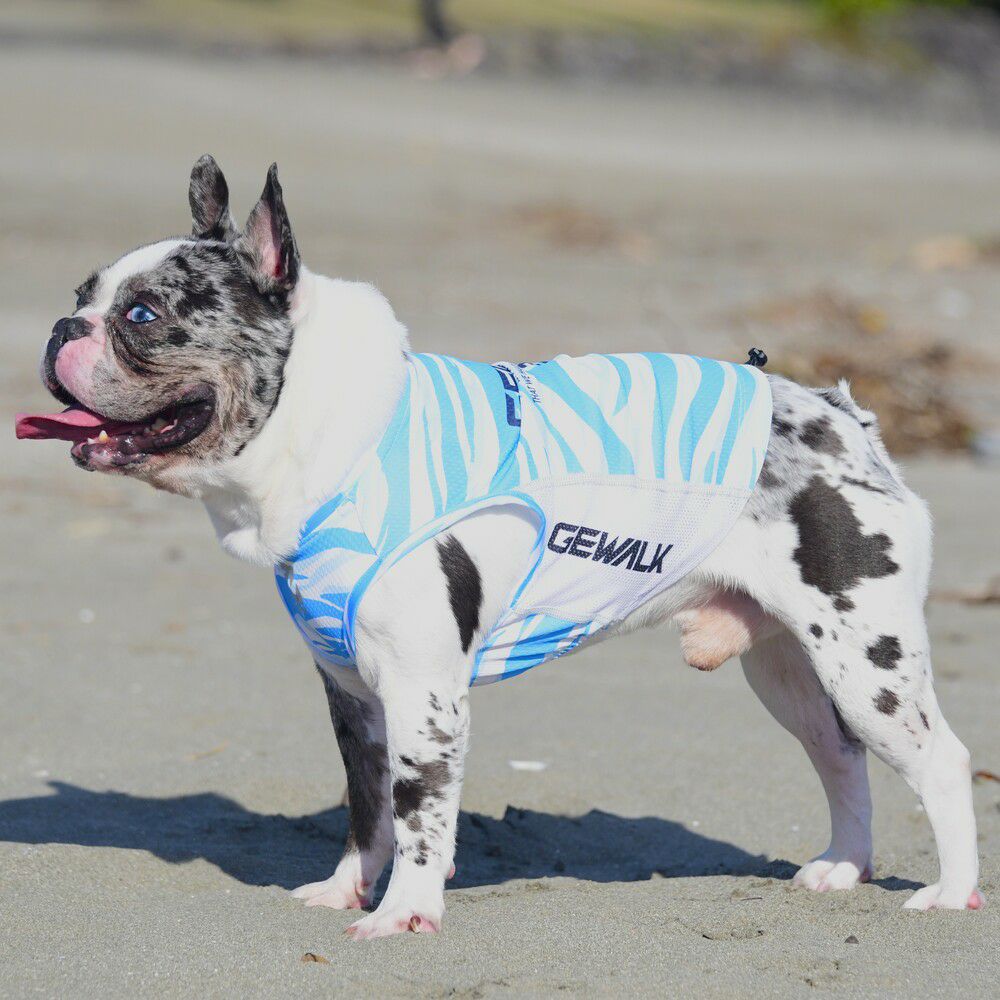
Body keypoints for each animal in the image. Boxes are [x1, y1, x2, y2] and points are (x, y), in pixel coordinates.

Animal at [15, 156, 983, 938]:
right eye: (81, 294)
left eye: (143, 315)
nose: (63, 329)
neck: (334, 435)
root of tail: (845, 419)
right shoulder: (354, 697)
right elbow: (367, 806)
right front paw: (349, 889)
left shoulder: (422, 692)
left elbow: (417, 808)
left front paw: (405, 913)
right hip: (789, 668)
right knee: (841, 756)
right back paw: (844, 867)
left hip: (866, 660)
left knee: (940, 761)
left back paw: (951, 892)